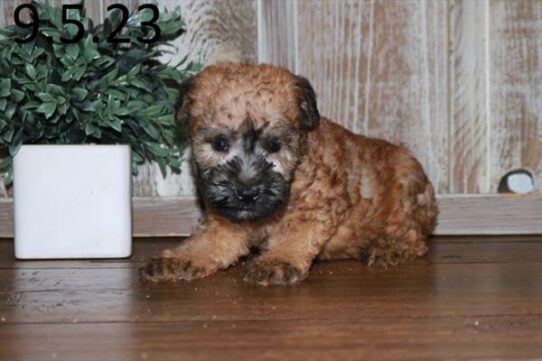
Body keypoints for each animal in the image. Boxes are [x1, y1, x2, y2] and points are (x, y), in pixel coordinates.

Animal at [142, 63, 440, 286]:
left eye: (275, 146)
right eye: (220, 144)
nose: (247, 193)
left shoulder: (316, 204)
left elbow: (294, 233)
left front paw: (278, 260)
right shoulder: (226, 216)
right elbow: (211, 242)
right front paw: (180, 259)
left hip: (406, 187)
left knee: (414, 237)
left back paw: (388, 247)